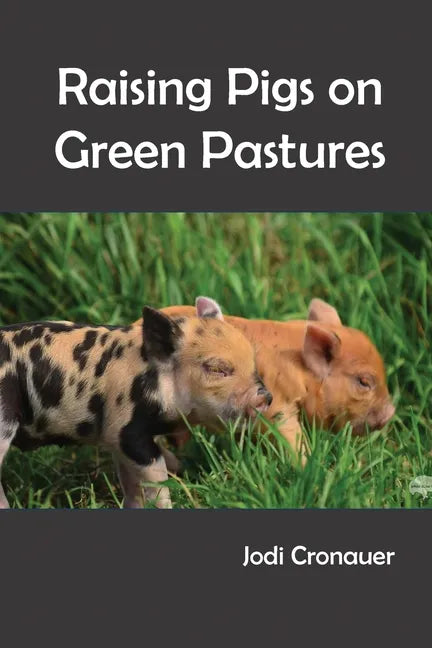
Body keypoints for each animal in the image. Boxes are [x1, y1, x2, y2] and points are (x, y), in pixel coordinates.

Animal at [0, 297, 272, 509]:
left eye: (253, 362)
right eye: (216, 369)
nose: (265, 396)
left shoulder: (116, 438)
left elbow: (132, 482)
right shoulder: (126, 430)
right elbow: (155, 476)